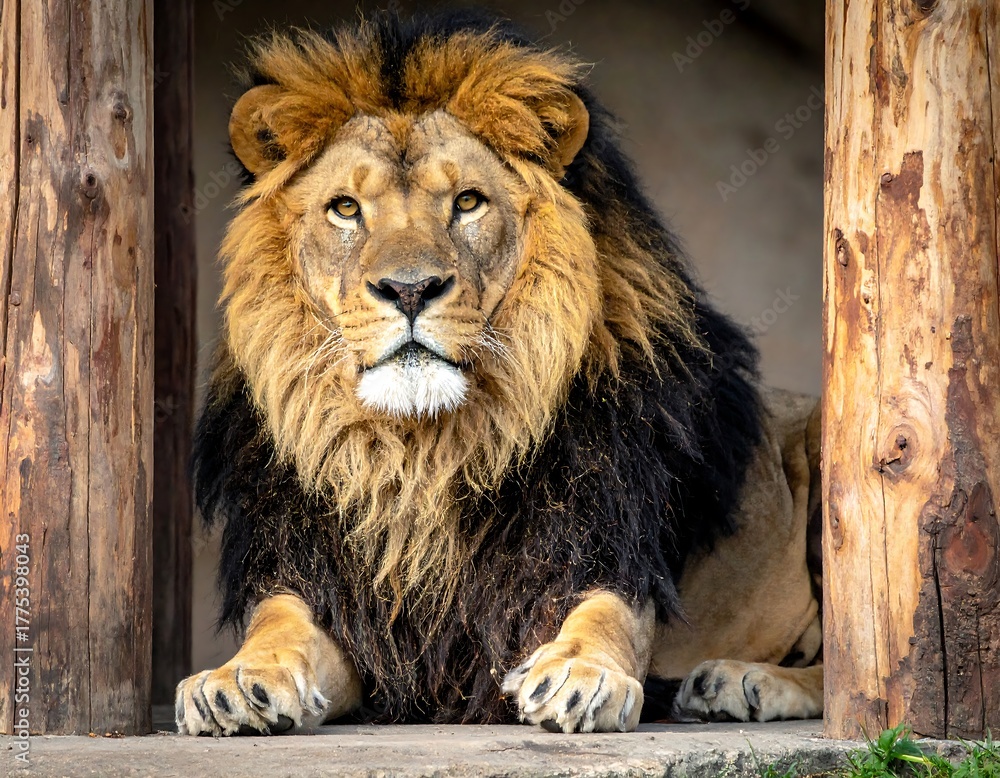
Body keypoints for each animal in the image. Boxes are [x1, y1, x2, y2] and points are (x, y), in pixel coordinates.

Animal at [175, 11, 824, 736]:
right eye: (345, 208)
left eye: (467, 202)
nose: (409, 289)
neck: (418, 452)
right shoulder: (332, 597)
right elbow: (278, 623)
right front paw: (233, 680)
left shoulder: (608, 550)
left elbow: (606, 616)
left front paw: (582, 675)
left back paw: (741, 681)